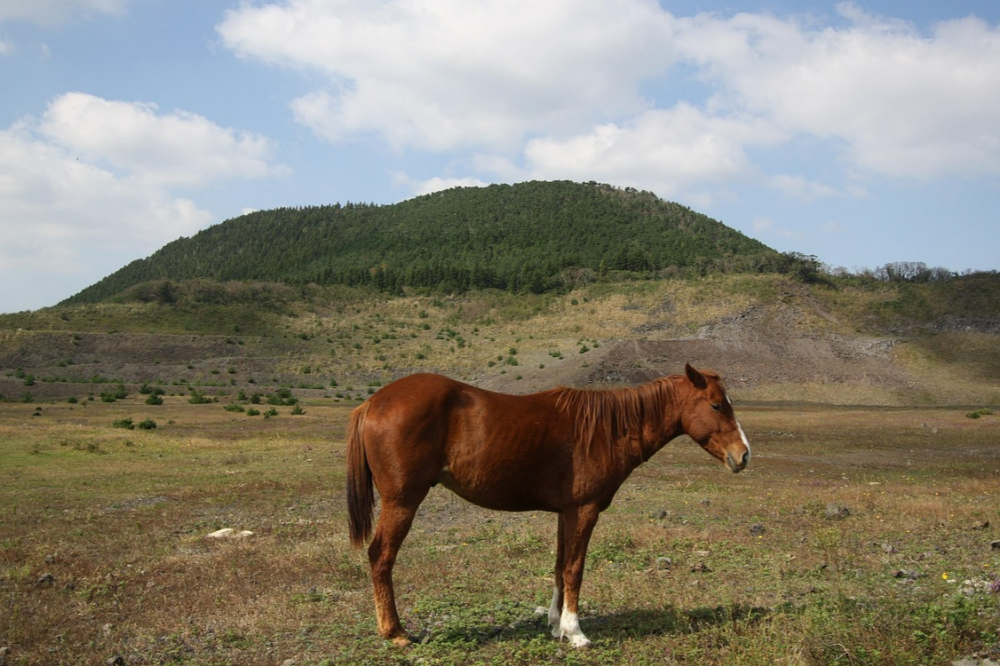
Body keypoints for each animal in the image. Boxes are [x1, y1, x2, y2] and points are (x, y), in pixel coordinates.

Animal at [346, 364, 750, 648]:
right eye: (716, 405)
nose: (743, 456)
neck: (605, 430)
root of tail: (373, 402)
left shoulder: (565, 513)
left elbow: (559, 567)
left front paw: (557, 626)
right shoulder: (584, 510)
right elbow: (575, 569)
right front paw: (576, 632)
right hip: (402, 502)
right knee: (381, 556)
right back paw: (395, 632)